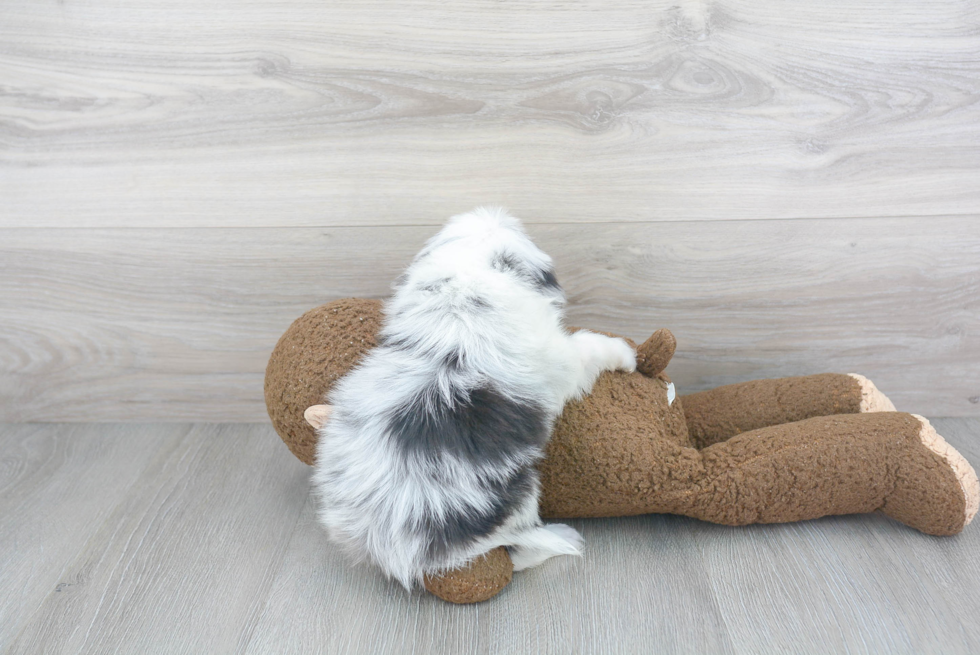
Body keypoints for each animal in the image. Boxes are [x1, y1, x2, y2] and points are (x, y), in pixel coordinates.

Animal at [312, 208, 636, 588]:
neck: (461, 289)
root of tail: (383, 547)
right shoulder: (561, 357)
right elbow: (590, 345)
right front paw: (627, 355)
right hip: (516, 495)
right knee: (516, 550)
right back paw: (563, 536)